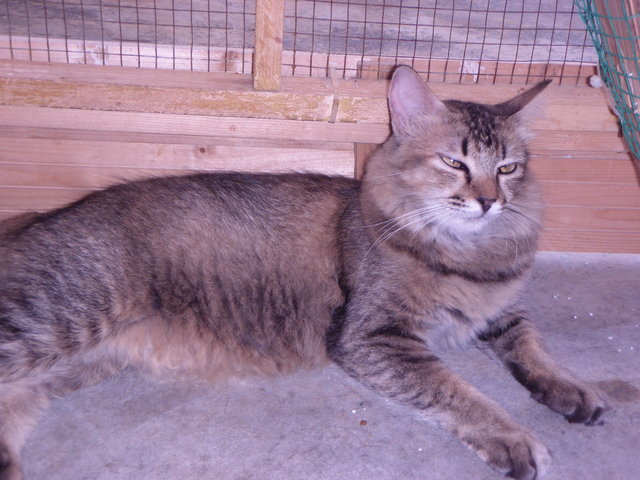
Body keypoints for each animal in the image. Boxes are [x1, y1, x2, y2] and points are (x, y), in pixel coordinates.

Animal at [0, 66, 608, 480]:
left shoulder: (501, 309)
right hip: (58, 320)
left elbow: (533, 346)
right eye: (454, 162)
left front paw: (571, 389)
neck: (468, 254)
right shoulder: (375, 337)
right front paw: (514, 437)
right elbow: (460, 393)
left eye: (507, 168)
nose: (488, 201)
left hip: (72, 362)